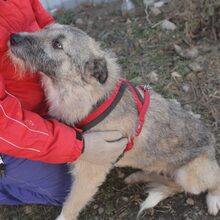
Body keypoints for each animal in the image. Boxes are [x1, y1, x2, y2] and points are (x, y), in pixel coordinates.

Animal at [8, 23, 220, 219]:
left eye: (57, 44)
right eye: (44, 29)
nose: (12, 38)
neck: (90, 98)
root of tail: (211, 144)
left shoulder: (88, 174)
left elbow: (70, 207)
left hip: (190, 173)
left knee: (205, 181)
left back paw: (213, 199)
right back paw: (138, 176)